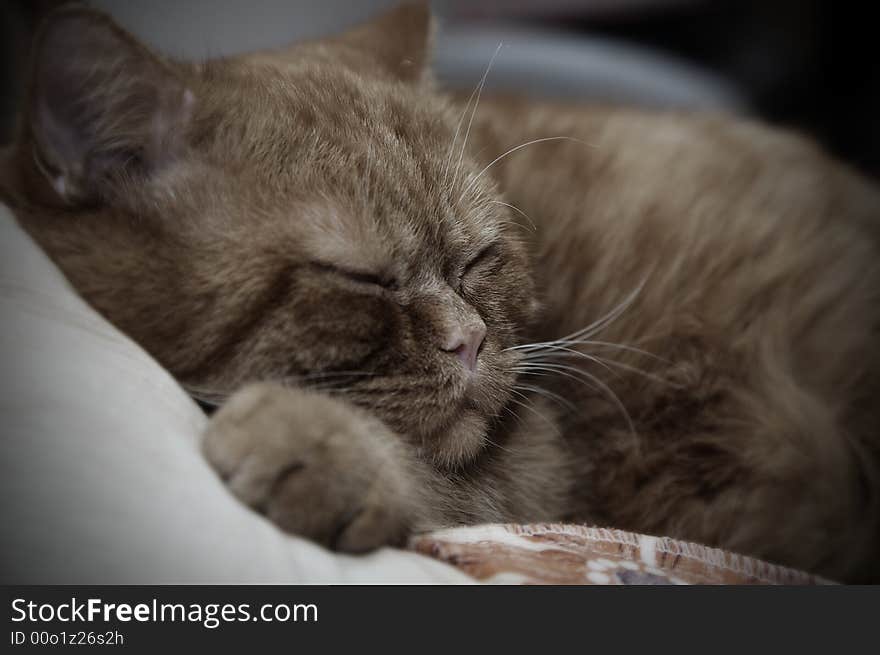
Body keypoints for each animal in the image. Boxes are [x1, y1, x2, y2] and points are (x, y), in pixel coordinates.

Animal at [1, 2, 880, 580]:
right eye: (362, 278)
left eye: (477, 259)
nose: (472, 339)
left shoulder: (546, 466)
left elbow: (447, 480)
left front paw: (321, 443)